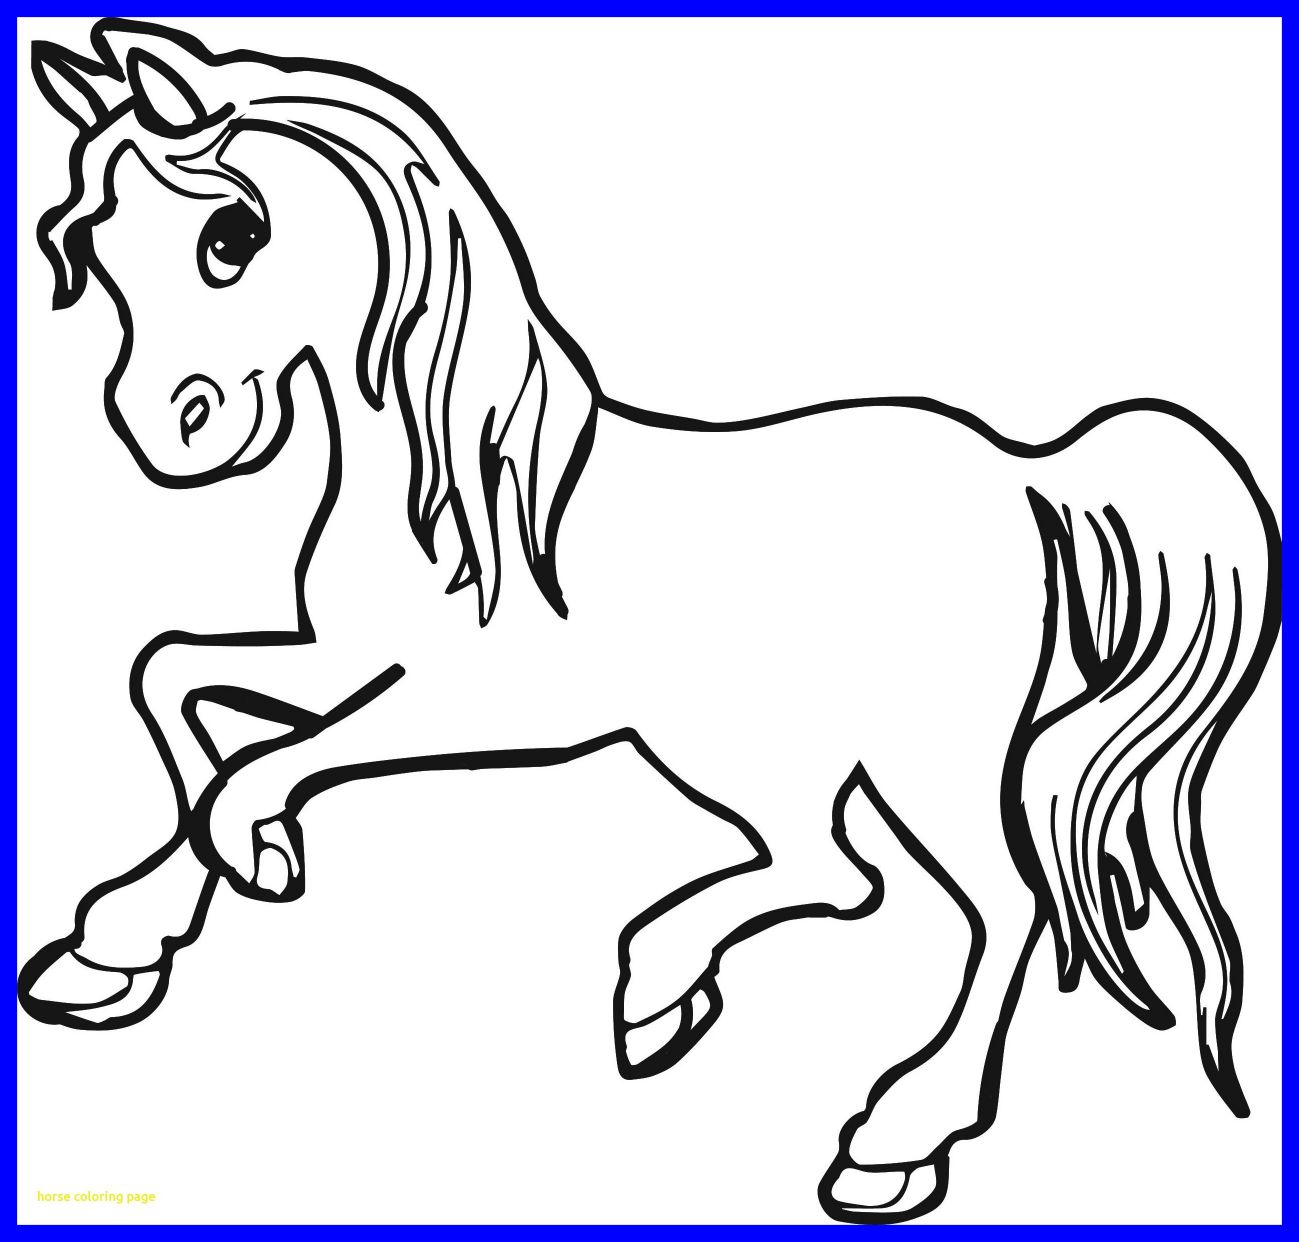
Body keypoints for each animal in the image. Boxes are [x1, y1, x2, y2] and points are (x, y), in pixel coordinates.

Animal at [19, 19, 1280, 1224]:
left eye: (233, 236)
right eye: (90, 249)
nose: (168, 432)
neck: (458, 486)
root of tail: (1025, 471)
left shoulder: (494, 702)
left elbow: (265, 762)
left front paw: (241, 854)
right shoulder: (352, 658)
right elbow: (168, 677)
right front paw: (125, 941)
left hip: (916, 751)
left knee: (993, 900)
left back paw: (887, 1141)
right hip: (745, 743)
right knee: (833, 871)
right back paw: (663, 988)